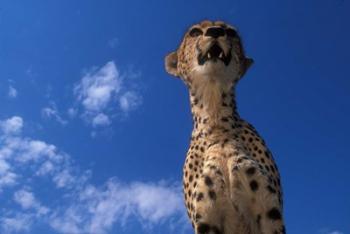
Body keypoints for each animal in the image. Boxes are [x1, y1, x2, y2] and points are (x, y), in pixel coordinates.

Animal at [164, 20, 284, 234]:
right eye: (195, 32)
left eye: (230, 32)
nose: (215, 31)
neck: (217, 120)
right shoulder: (207, 218)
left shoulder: (269, 211)